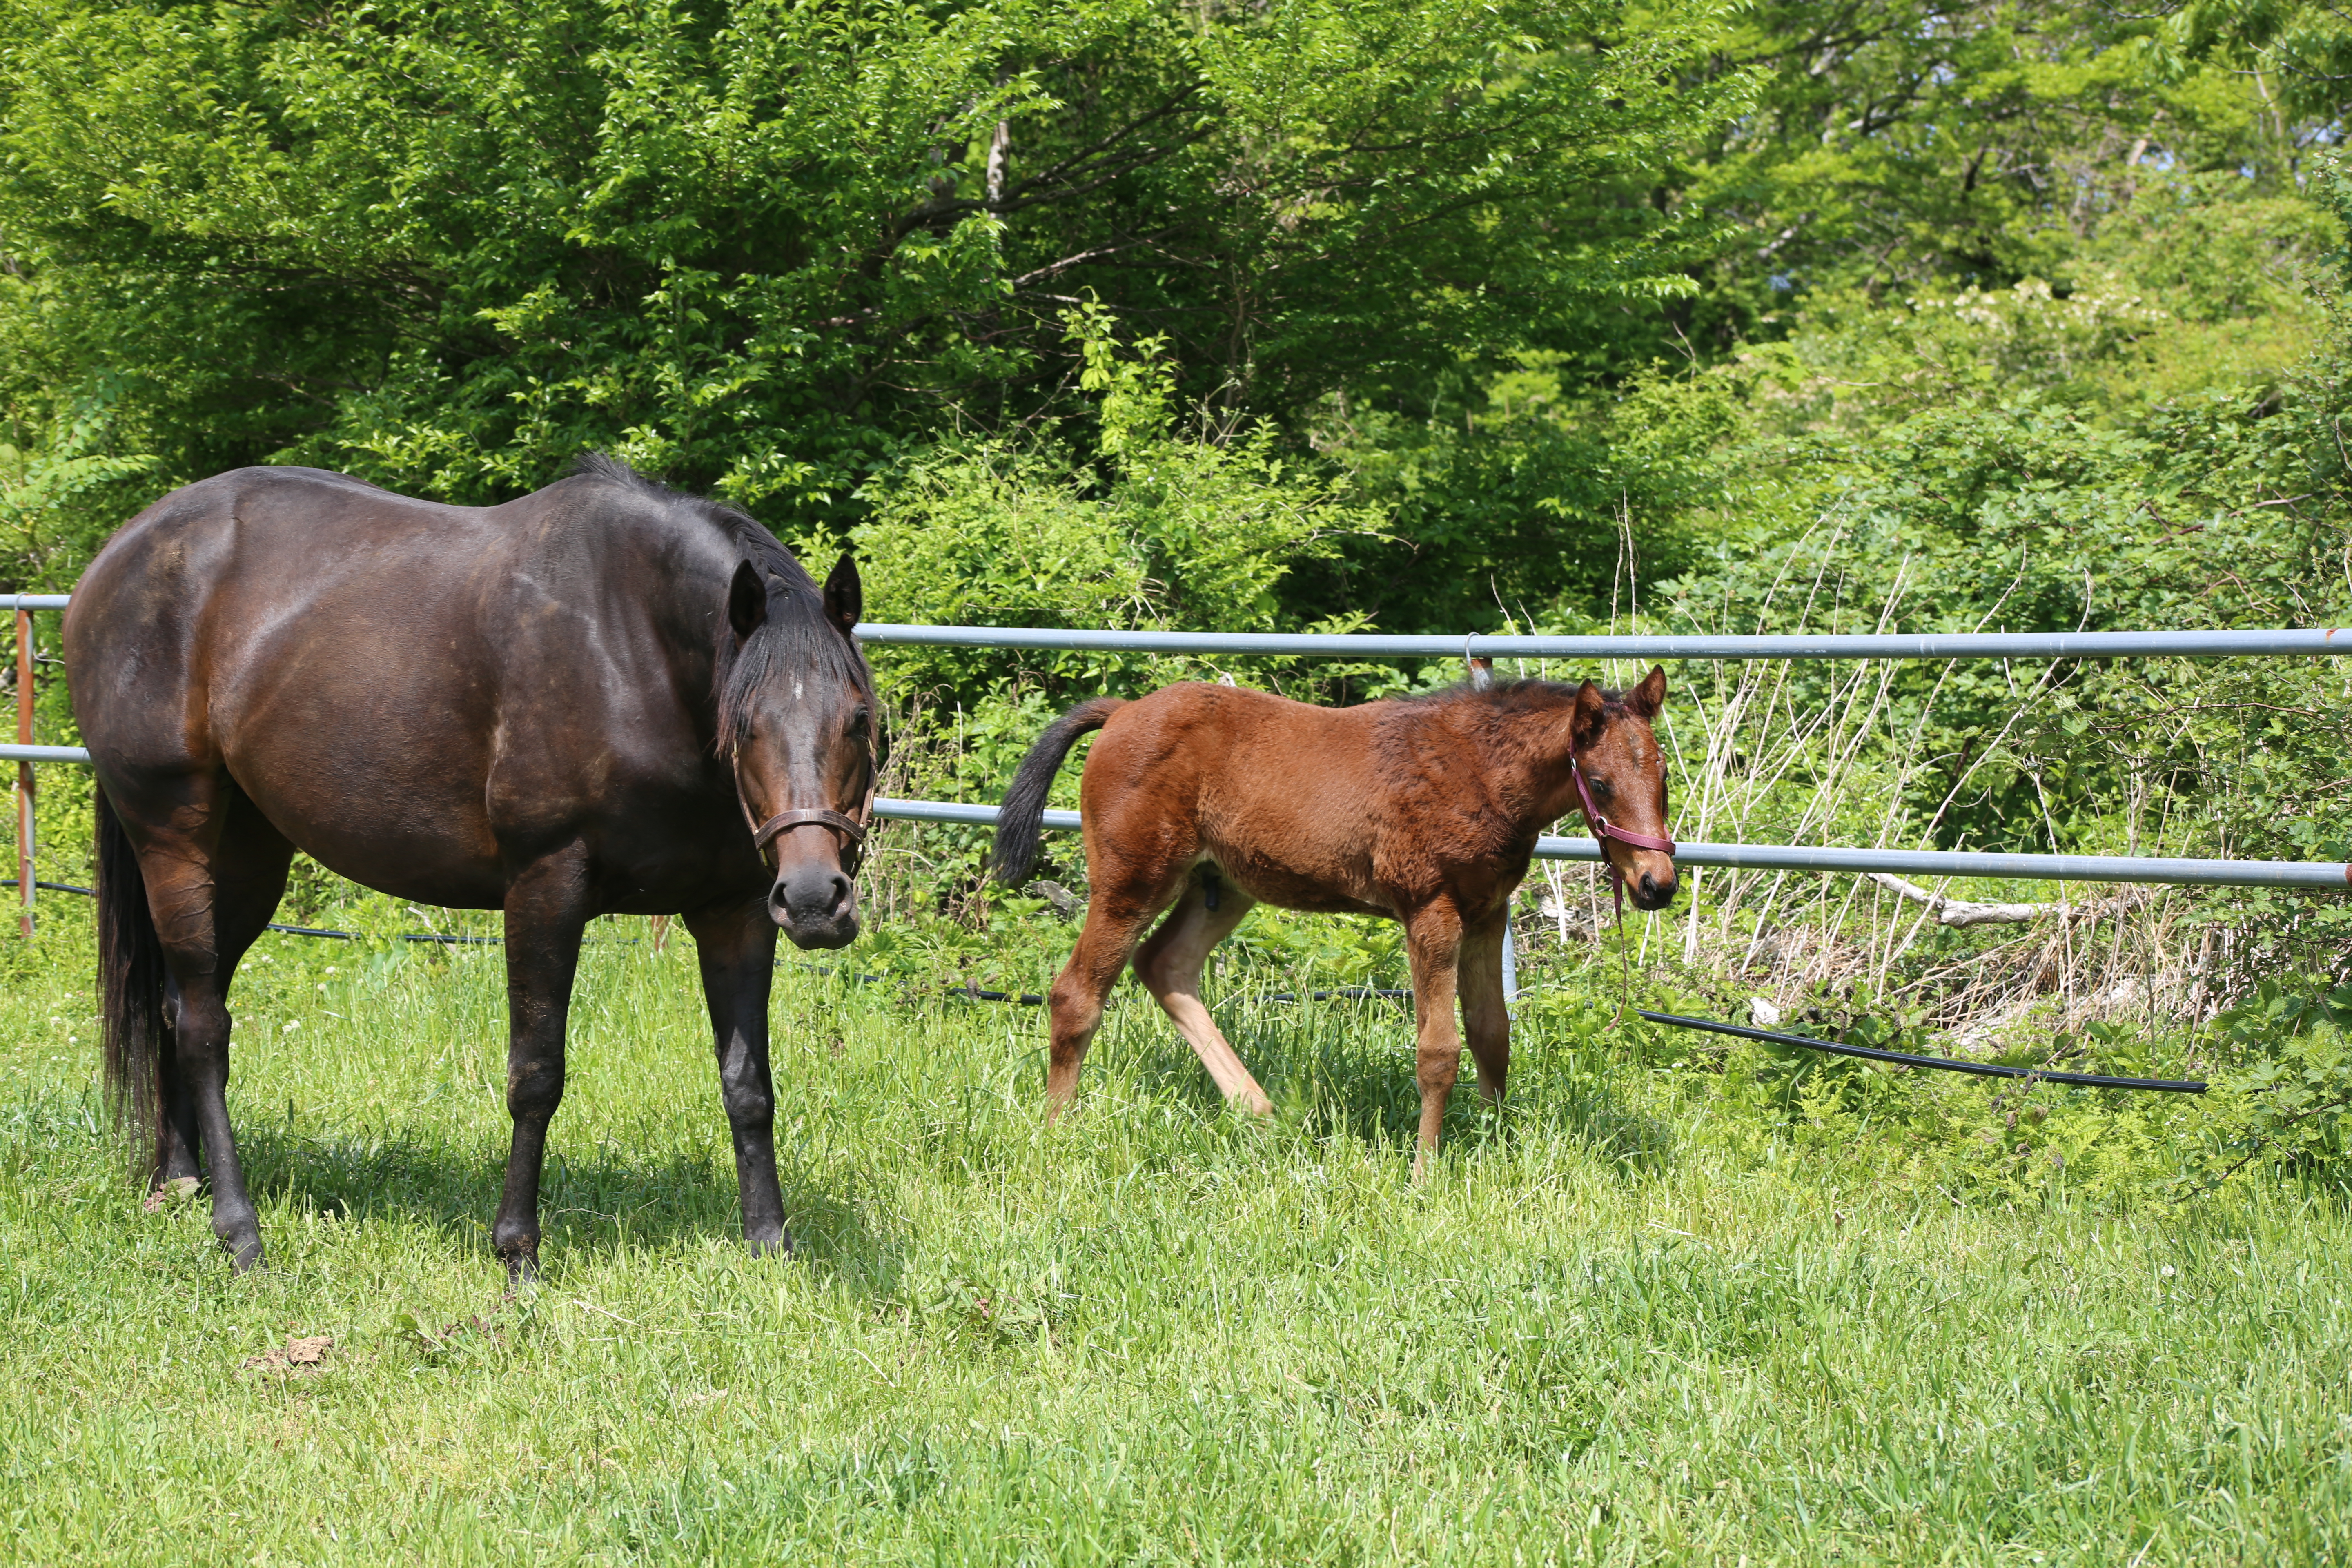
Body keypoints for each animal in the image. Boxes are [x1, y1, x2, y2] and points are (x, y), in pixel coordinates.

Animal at [64, 454, 880, 1278]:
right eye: (745, 725)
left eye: (859, 719)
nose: (816, 900)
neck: (632, 650)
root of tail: (116, 557)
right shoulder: (546, 888)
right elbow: (536, 1076)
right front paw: (517, 1249)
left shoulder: (735, 910)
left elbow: (748, 1084)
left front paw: (769, 1244)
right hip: (173, 839)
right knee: (204, 1027)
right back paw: (239, 1232)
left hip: (247, 861)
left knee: (176, 1006)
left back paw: (180, 1180)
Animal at [988, 668, 1675, 1171]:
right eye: (1599, 782)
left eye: (1664, 777)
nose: (1657, 885)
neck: (1478, 770)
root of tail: (1123, 710)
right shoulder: (1430, 910)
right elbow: (1439, 1049)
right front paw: (1425, 1171)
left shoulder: (1488, 912)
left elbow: (1492, 1034)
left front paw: (1495, 1145)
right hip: (1131, 883)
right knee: (1076, 994)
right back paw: (1058, 1134)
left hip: (1225, 884)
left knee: (1165, 965)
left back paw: (1260, 1112)